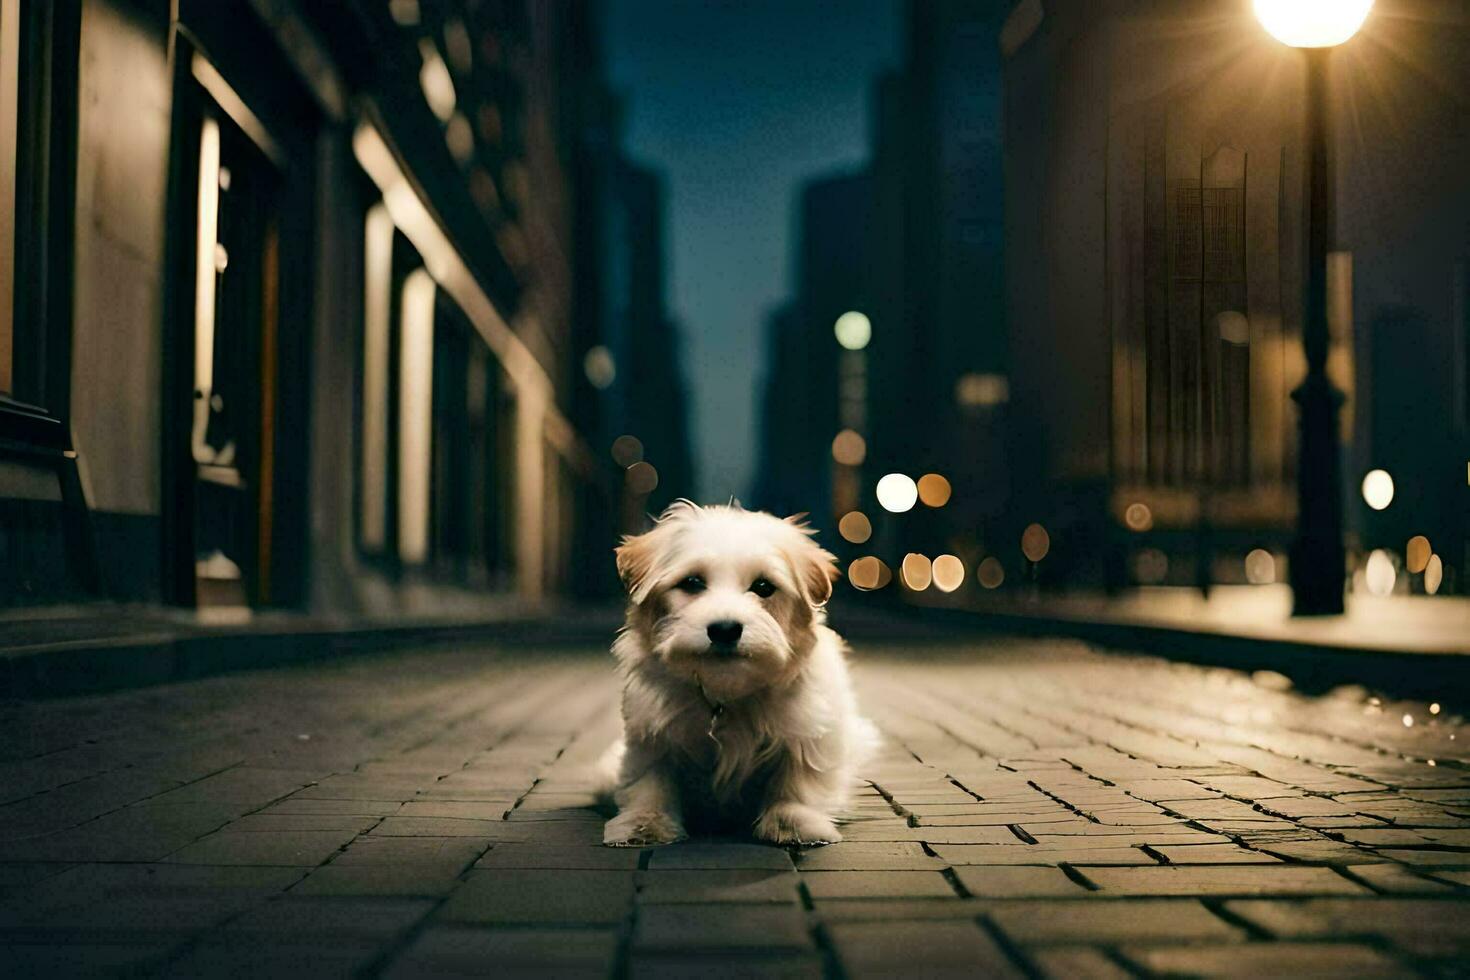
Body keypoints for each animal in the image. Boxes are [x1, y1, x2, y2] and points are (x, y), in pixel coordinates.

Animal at [602, 502, 876, 846]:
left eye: (763, 587)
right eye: (692, 582)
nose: (724, 628)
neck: (725, 692)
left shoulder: (807, 729)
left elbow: (800, 778)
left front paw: (793, 821)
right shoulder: (650, 732)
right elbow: (650, 779)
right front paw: (645, 821)